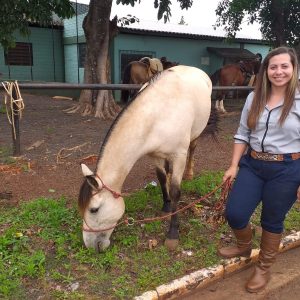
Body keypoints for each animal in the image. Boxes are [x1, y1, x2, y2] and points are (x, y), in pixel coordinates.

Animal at [78, 66, 217, 253]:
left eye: (93, 210)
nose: (90, 246)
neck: (158, 115)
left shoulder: (179, 155)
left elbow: (175, 191)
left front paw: (173, 234)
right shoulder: (154, 155)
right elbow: (161, 177)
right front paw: (166, 206)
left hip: (196, 134)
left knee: (193, 148)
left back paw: (189, 173)